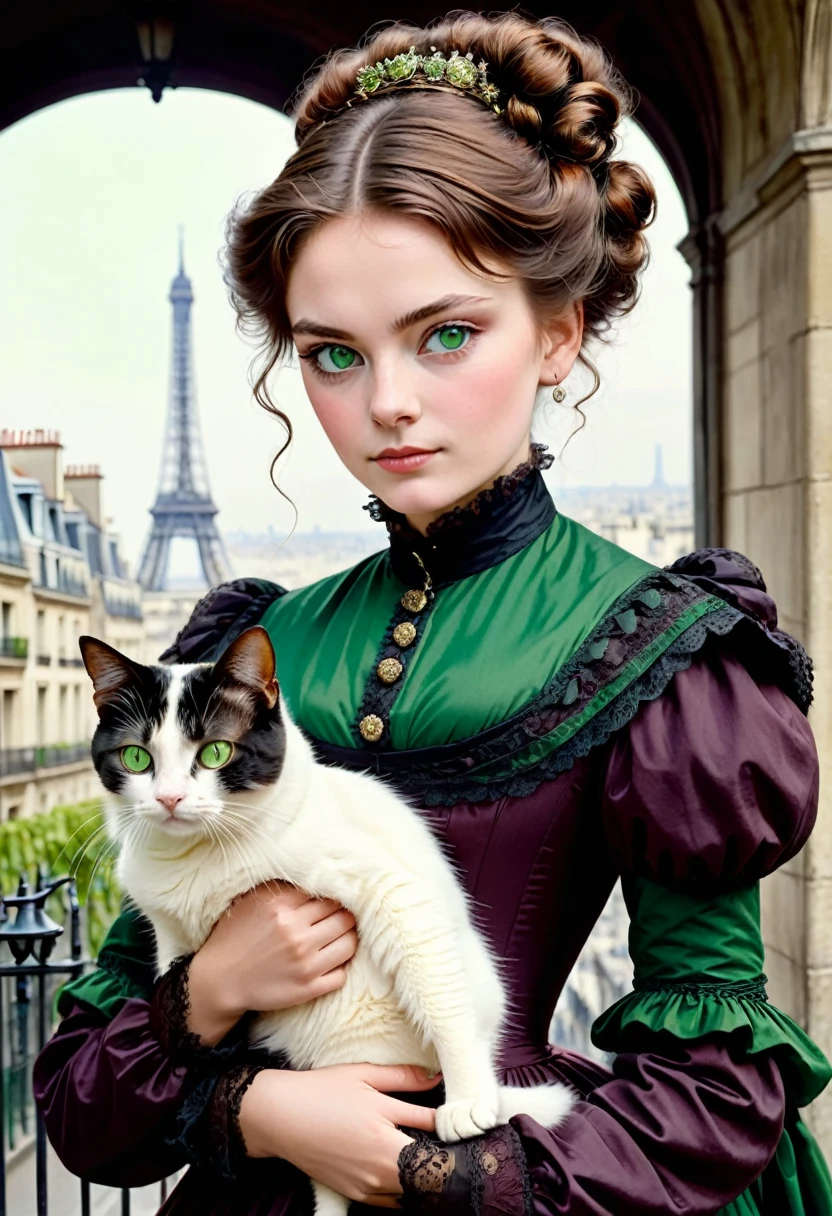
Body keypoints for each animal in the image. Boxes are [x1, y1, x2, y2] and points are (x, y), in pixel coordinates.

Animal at [81, 627, 571, 1216]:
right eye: (136, 757)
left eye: (215, 751)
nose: (169, 798)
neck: (203, 858)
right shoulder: (176, 943)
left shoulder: (395, 890)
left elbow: (443, 1003)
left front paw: (470, 1101)